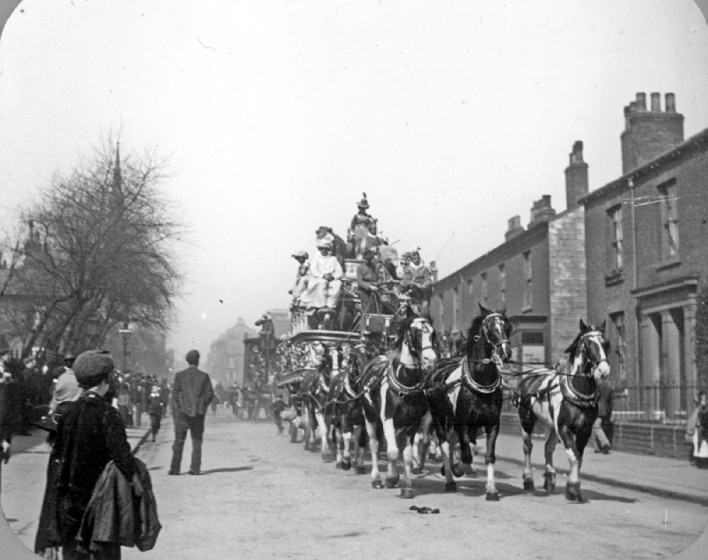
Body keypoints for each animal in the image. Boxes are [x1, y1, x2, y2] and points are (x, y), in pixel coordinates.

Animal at [362, 306, 440, 498]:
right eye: (415, 332)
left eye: (432, 333)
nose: (430, 360)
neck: (406, 384)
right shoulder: (387, 418)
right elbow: (391, 452)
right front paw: (390, 477)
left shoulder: (412, 423)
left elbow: (406, 455)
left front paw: (406, 486)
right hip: (370, 418)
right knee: (375, 445)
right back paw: (377, 478)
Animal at [424, 308, 512, 500]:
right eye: (490, 328)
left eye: (506, 327)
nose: (505, 351)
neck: (481, 381)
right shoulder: (463, 423)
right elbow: (466, 455)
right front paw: (457, 468)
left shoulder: (491, 424)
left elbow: (488, 455)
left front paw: (491, 489)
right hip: (438, 416)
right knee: (444, 443)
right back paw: (449, 478)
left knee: (451, 442)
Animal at [512, 320, 612, 504]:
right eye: (588, 344)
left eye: (605, 343)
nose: (603, 370)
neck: (578, 391)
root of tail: (528, 378)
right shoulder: (564, 428)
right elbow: (574, 456)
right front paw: (573, 489)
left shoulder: (584, 430)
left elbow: (579, 458)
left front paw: (573, 488)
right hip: (527, 420)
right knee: (528, 447)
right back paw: (528, 479)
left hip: (553, 426)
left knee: (548, 448)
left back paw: (549, 478)